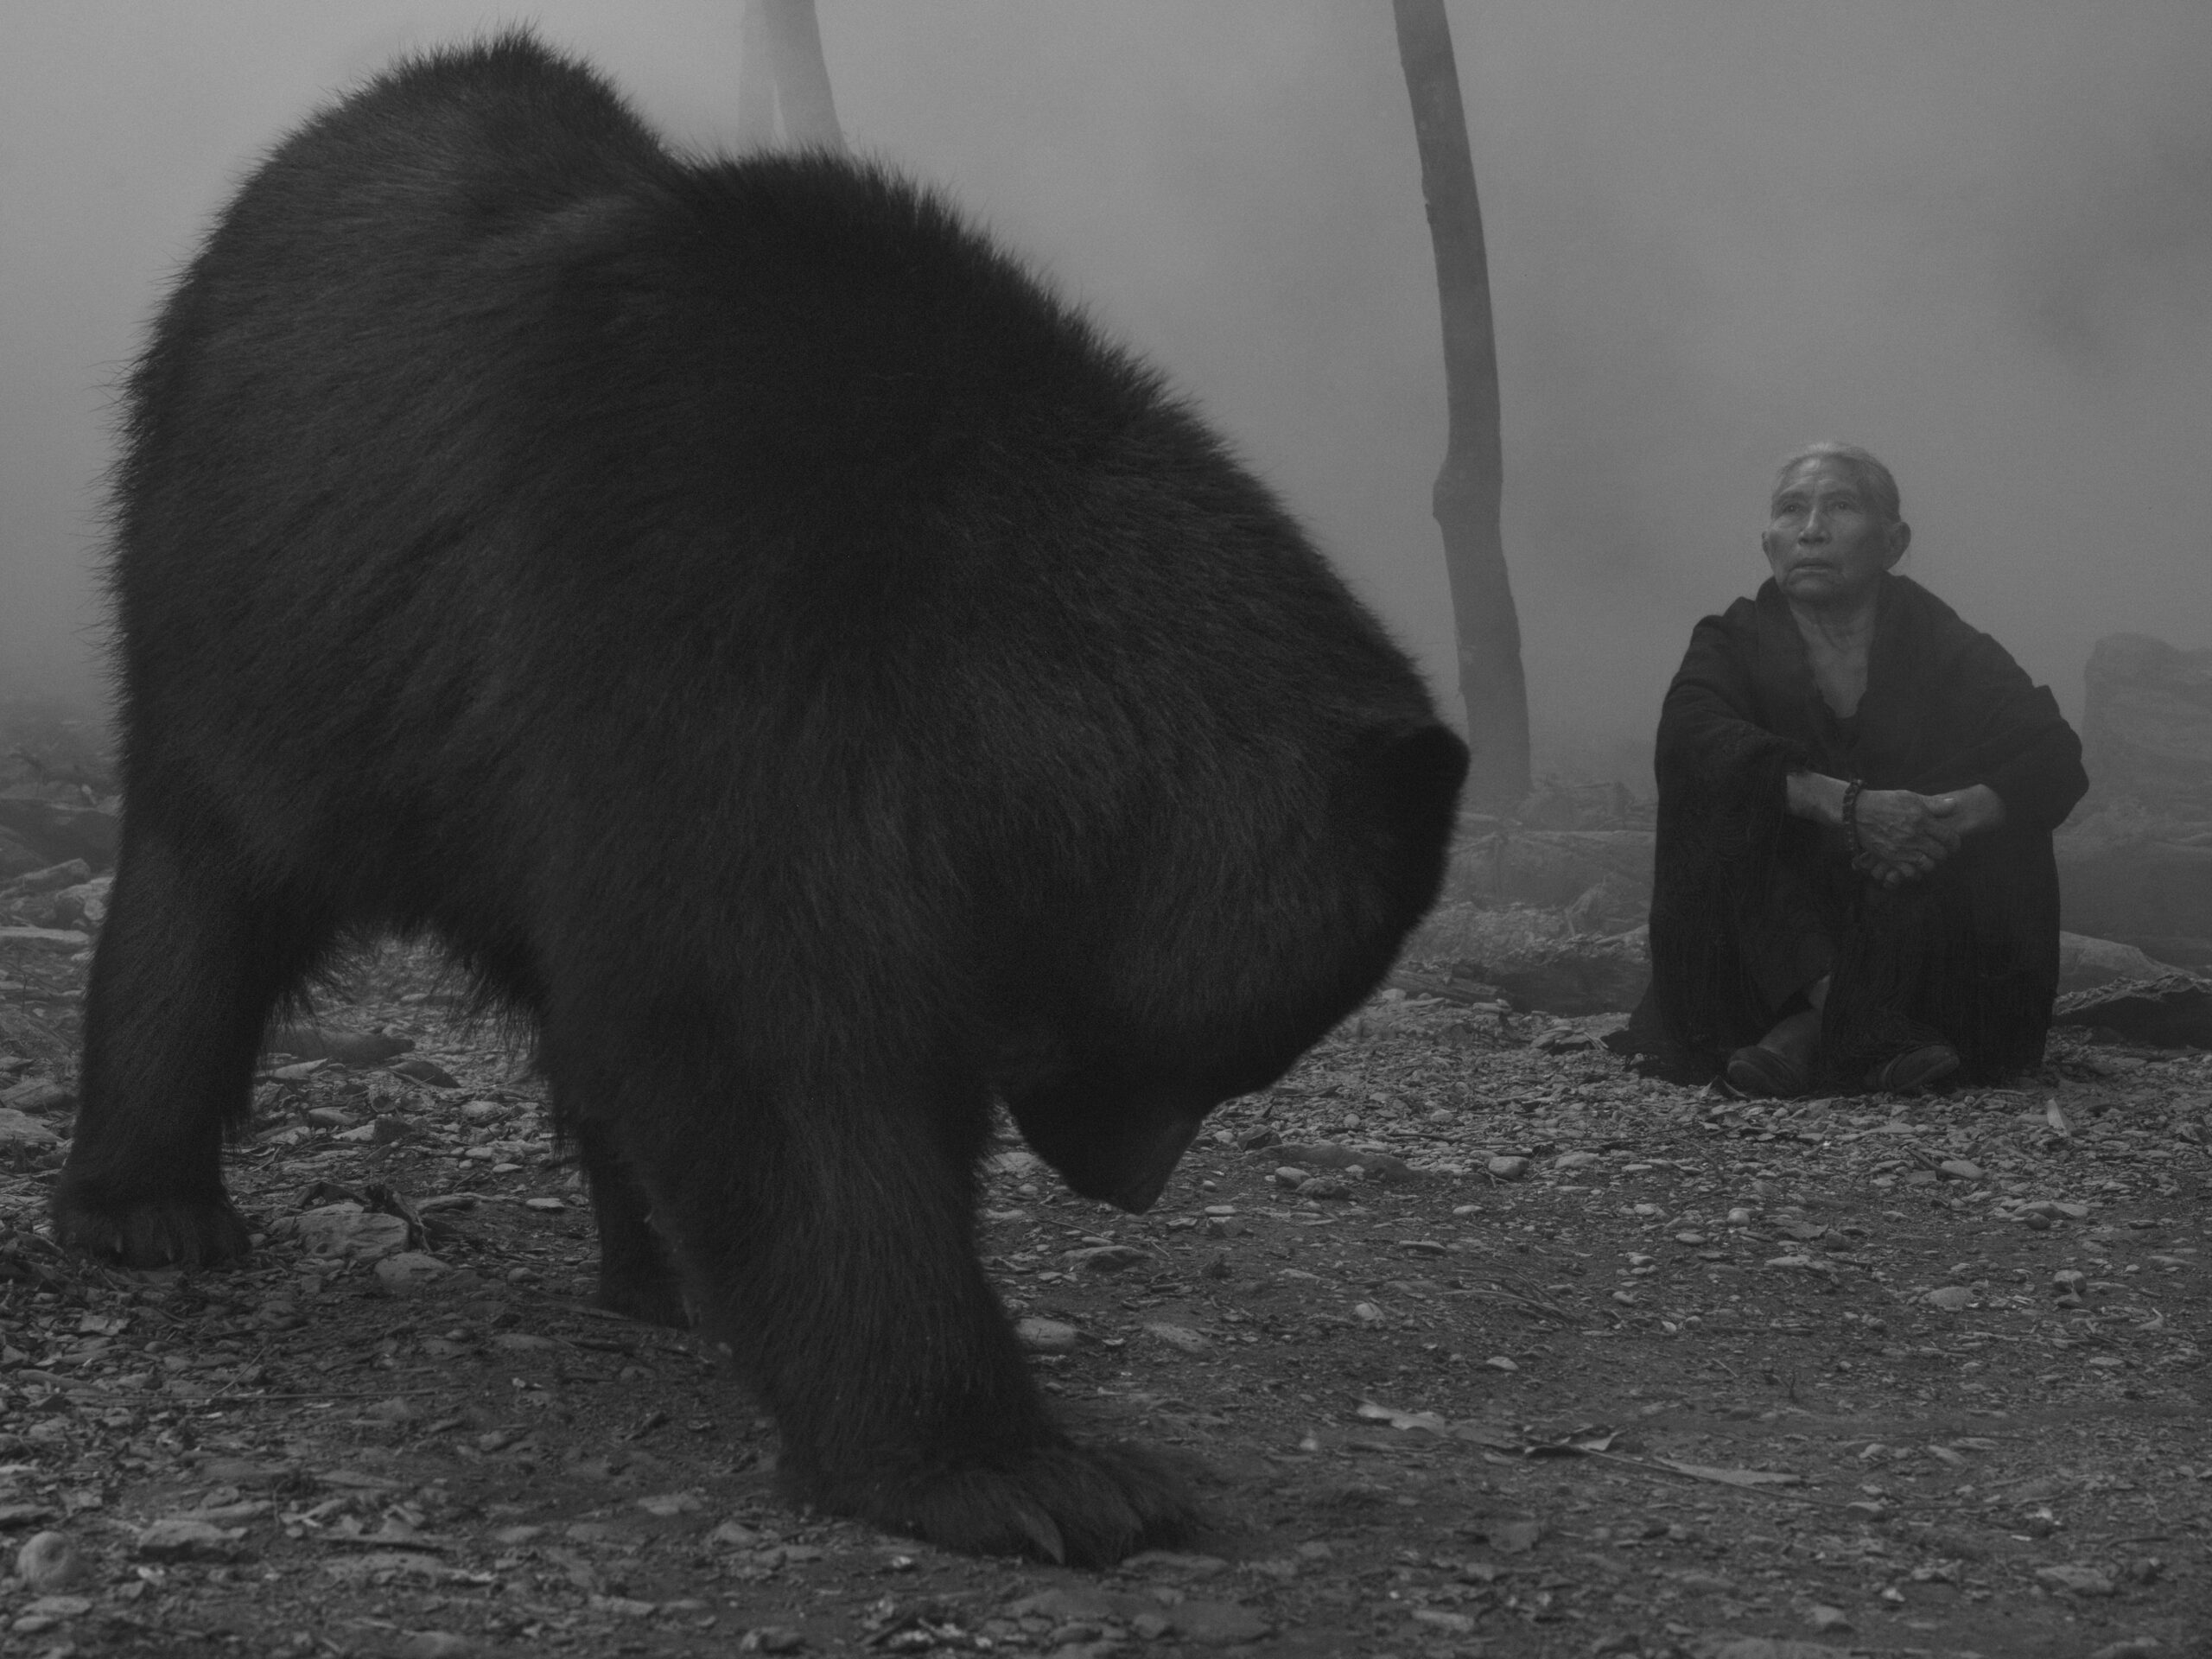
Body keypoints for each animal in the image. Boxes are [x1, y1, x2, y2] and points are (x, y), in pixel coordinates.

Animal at [55, 41, 1468, 1574]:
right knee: (206, 891)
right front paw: (1028, 1474)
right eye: (1242, 1052)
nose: (1130, 1183)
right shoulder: (711, 633)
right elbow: (773, 1043)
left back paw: (656, 1267)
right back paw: (151, 1206)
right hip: (252, 617)